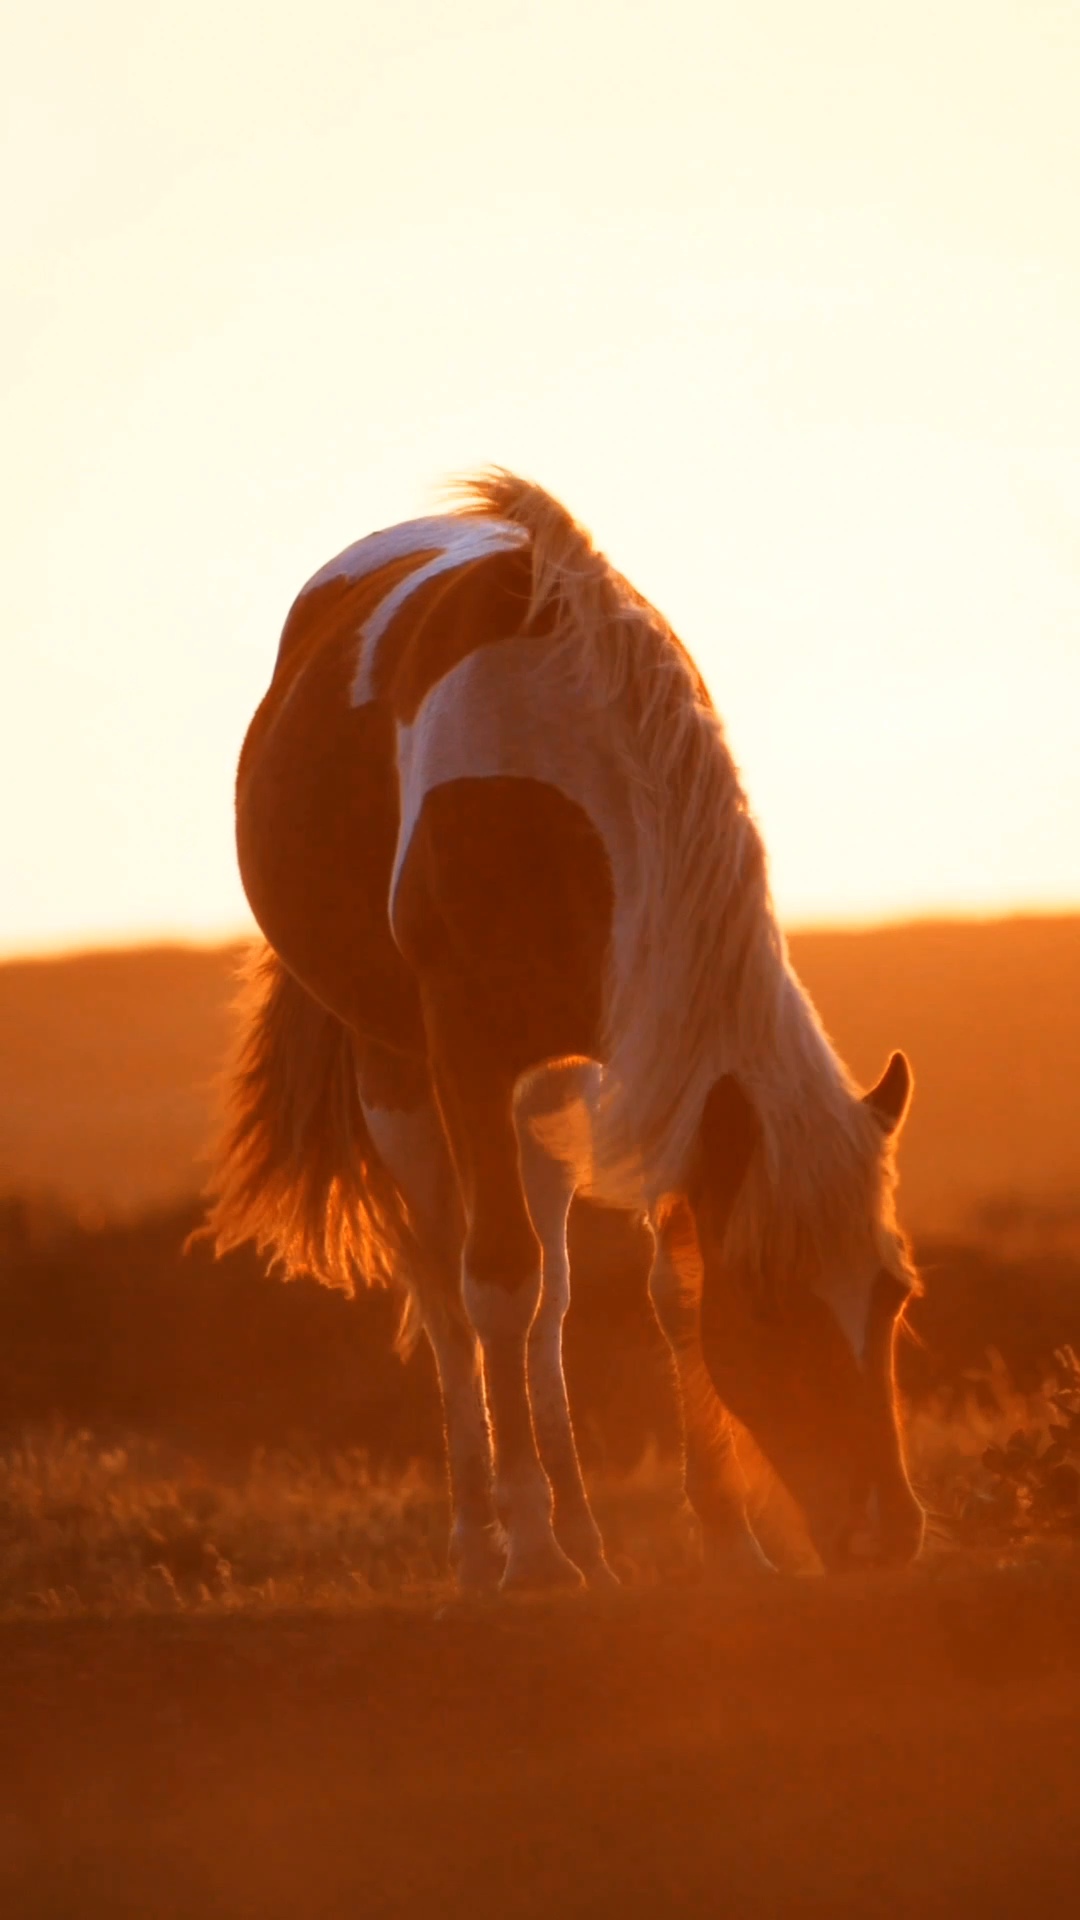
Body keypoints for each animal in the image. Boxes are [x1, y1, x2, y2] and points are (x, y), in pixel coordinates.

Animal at [207, 471, 924, 1591]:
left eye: (892, 1291)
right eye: (768, 1303)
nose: (886, 1534)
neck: (554, 770)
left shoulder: (638, 1067)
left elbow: (662, 1290)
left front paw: (729, 1539)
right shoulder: (465, 1051)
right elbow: (495, 1282)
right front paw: (531, 1556)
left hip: (543, 1090)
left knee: (549, 1304)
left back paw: (587, 1535)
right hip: (401, 1075)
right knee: (449, 1291)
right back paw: (483, 1541)